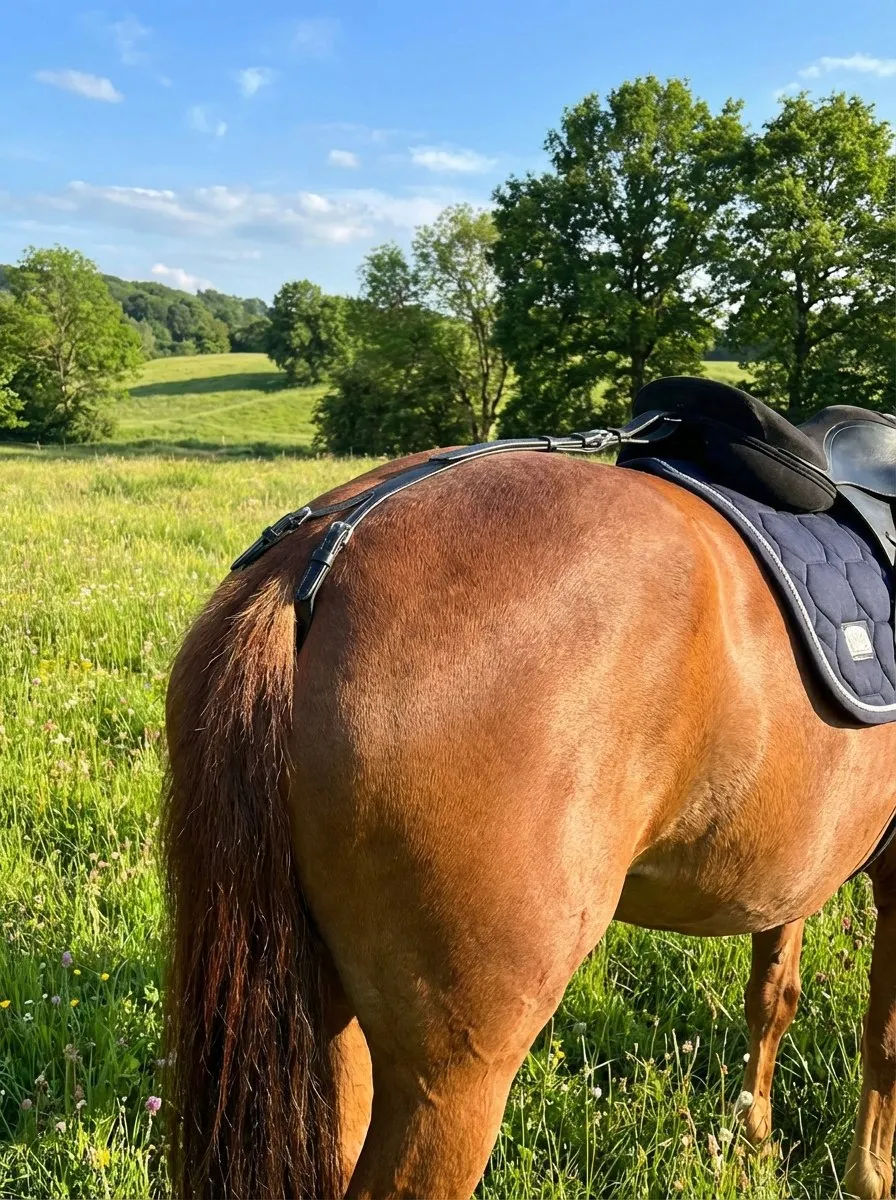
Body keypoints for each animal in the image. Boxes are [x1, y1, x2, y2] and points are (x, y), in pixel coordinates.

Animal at [162, 445, 896, 1199]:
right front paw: (871, 1175)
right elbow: (886, 1033)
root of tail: (312, 565)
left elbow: (773, 996)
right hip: (451, 1083)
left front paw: (754, 1141)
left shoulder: (795, 874)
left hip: (331, 1026)